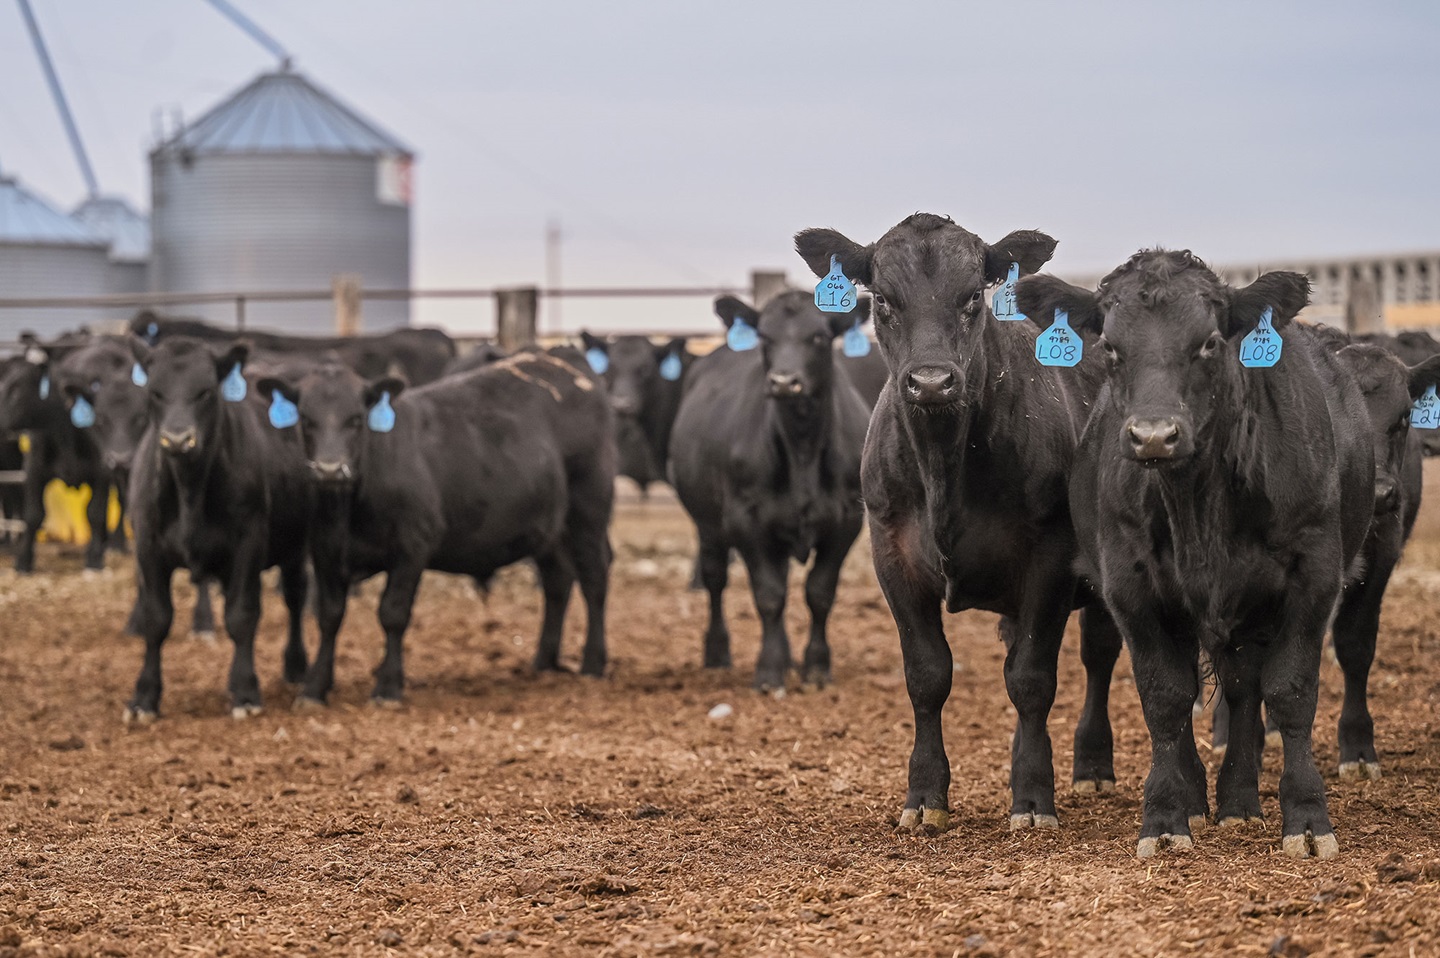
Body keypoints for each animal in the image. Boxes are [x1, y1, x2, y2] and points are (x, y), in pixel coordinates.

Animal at [125, 337, 312, 721]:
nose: (177, 439)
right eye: (155, 392)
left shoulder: (249, 543)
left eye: (206, 392)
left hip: (295, 547)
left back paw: (296, 665)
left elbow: (242, 615)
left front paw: (246, 692)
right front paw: (144, 697)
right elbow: (155, 618)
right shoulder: (147, 546)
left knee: (295, 596)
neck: (189, 489)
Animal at [255, 348, 614, 706]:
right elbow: (329, 615)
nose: (330, 469)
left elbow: (393, 613)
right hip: (548, 530)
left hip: (588, 510)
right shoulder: (325, 550)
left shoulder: (412, 547)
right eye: (305, 420)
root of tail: (561, 356)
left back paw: (593, 662)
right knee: (557, 581)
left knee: (594, 577)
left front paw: (388, 687)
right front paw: (315, 687)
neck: (349, 509)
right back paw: (544, 661)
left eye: (356, 419)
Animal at [668, 290, 873, 691]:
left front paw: (816, 667)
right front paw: (768, 671)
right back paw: (718, 651)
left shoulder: (846, 522)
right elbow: (769, 596)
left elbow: (819, 592)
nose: (783, 382)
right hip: (708, 525)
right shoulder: (747, 521)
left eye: (819, 337)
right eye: (765, 337)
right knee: (715, 579)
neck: (802, 448)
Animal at [793, 213, 1124, 835]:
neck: (943, 463)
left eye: (974, 296)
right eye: (883, 299)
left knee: (1098, 655)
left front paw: (1033, 798)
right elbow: (927, 676)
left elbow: (1032, 679)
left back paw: (1092, 766)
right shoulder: (891, 554)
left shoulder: (1050, 559)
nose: (930, 381)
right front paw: (925, 796)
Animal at [1018, 250, 1374, 859]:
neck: (1197, 508)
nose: (1153, 436)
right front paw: (1164, 816)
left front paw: (1306, 817)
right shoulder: (1130, 586)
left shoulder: (1314, 577)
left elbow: (1289, 690)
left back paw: (1238, 802)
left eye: (1209, 342)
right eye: (1109, 345)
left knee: (1245, 688)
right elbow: (1165, 696)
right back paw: (1198, 800)